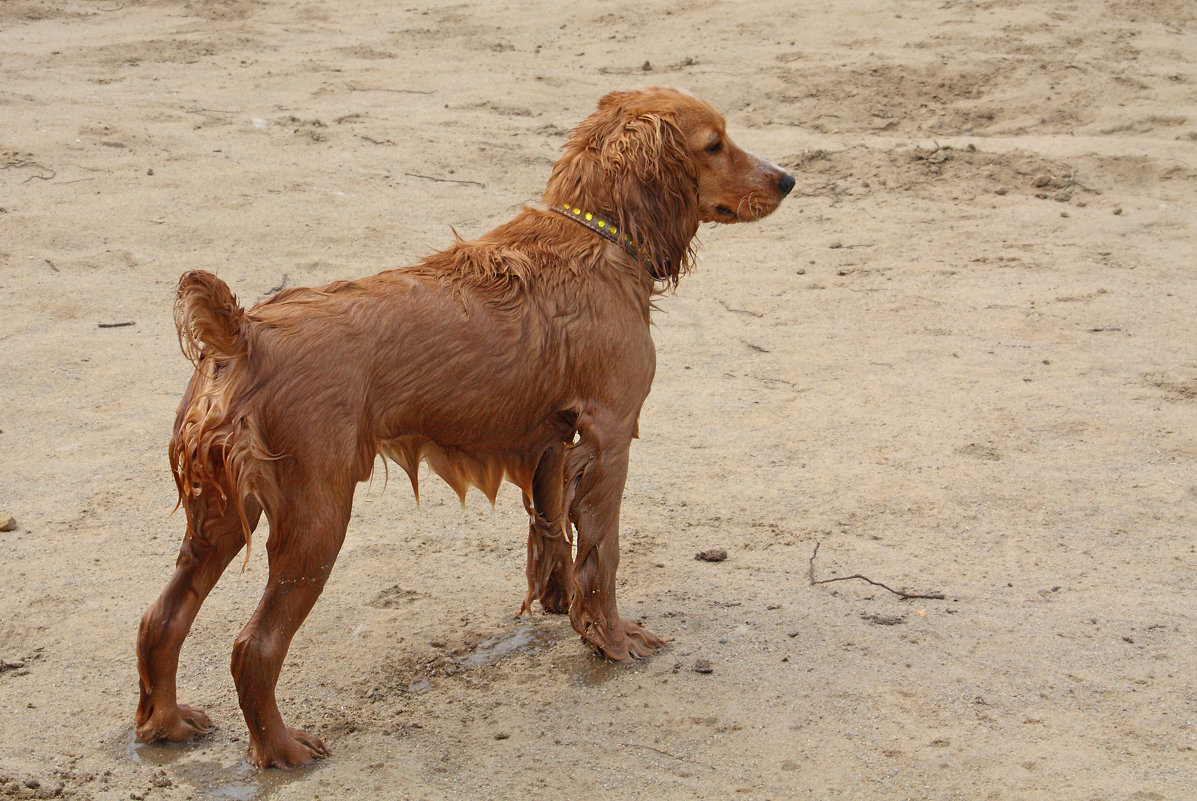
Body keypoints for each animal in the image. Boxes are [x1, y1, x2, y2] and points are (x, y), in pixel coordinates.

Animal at [133, 87, 794, 766]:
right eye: (714, 144)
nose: (788, 179)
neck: (594, 235)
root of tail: (244, 335)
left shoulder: (550, 444)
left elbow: (553, 536)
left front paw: (559, 607)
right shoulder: (610, 438)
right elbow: (602, 555)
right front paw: (613, 640)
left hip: (220, 514)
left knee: (161, 619)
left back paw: (168, 722)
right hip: (315, 516)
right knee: (254, 647)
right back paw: (283, 750)